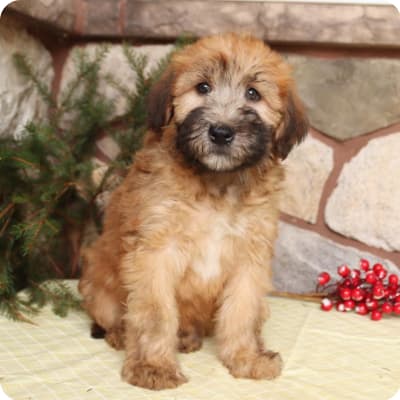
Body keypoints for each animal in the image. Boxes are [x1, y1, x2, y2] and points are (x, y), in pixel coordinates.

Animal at [79, 32, 308, 390]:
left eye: (253, 94)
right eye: (202, 87)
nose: (221, 132)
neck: (217, 183)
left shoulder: (250, 259)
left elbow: (241, 312)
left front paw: (245, 358)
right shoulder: (155, 251)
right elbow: (155, 314)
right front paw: (152, 366)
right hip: (98, 285)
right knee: (114, 315)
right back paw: (123, 334)